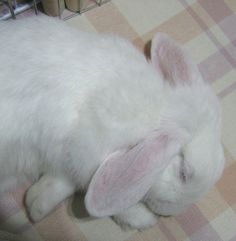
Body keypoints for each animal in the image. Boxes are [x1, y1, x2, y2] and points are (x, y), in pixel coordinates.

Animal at [0, 15, 224, 230]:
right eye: (183, 173)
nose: (168, 214)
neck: (159, 112)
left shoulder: (69, 160)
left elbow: (69, 181)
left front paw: (36, 203)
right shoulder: (88, 148)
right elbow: (104, 197)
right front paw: (142, 219)